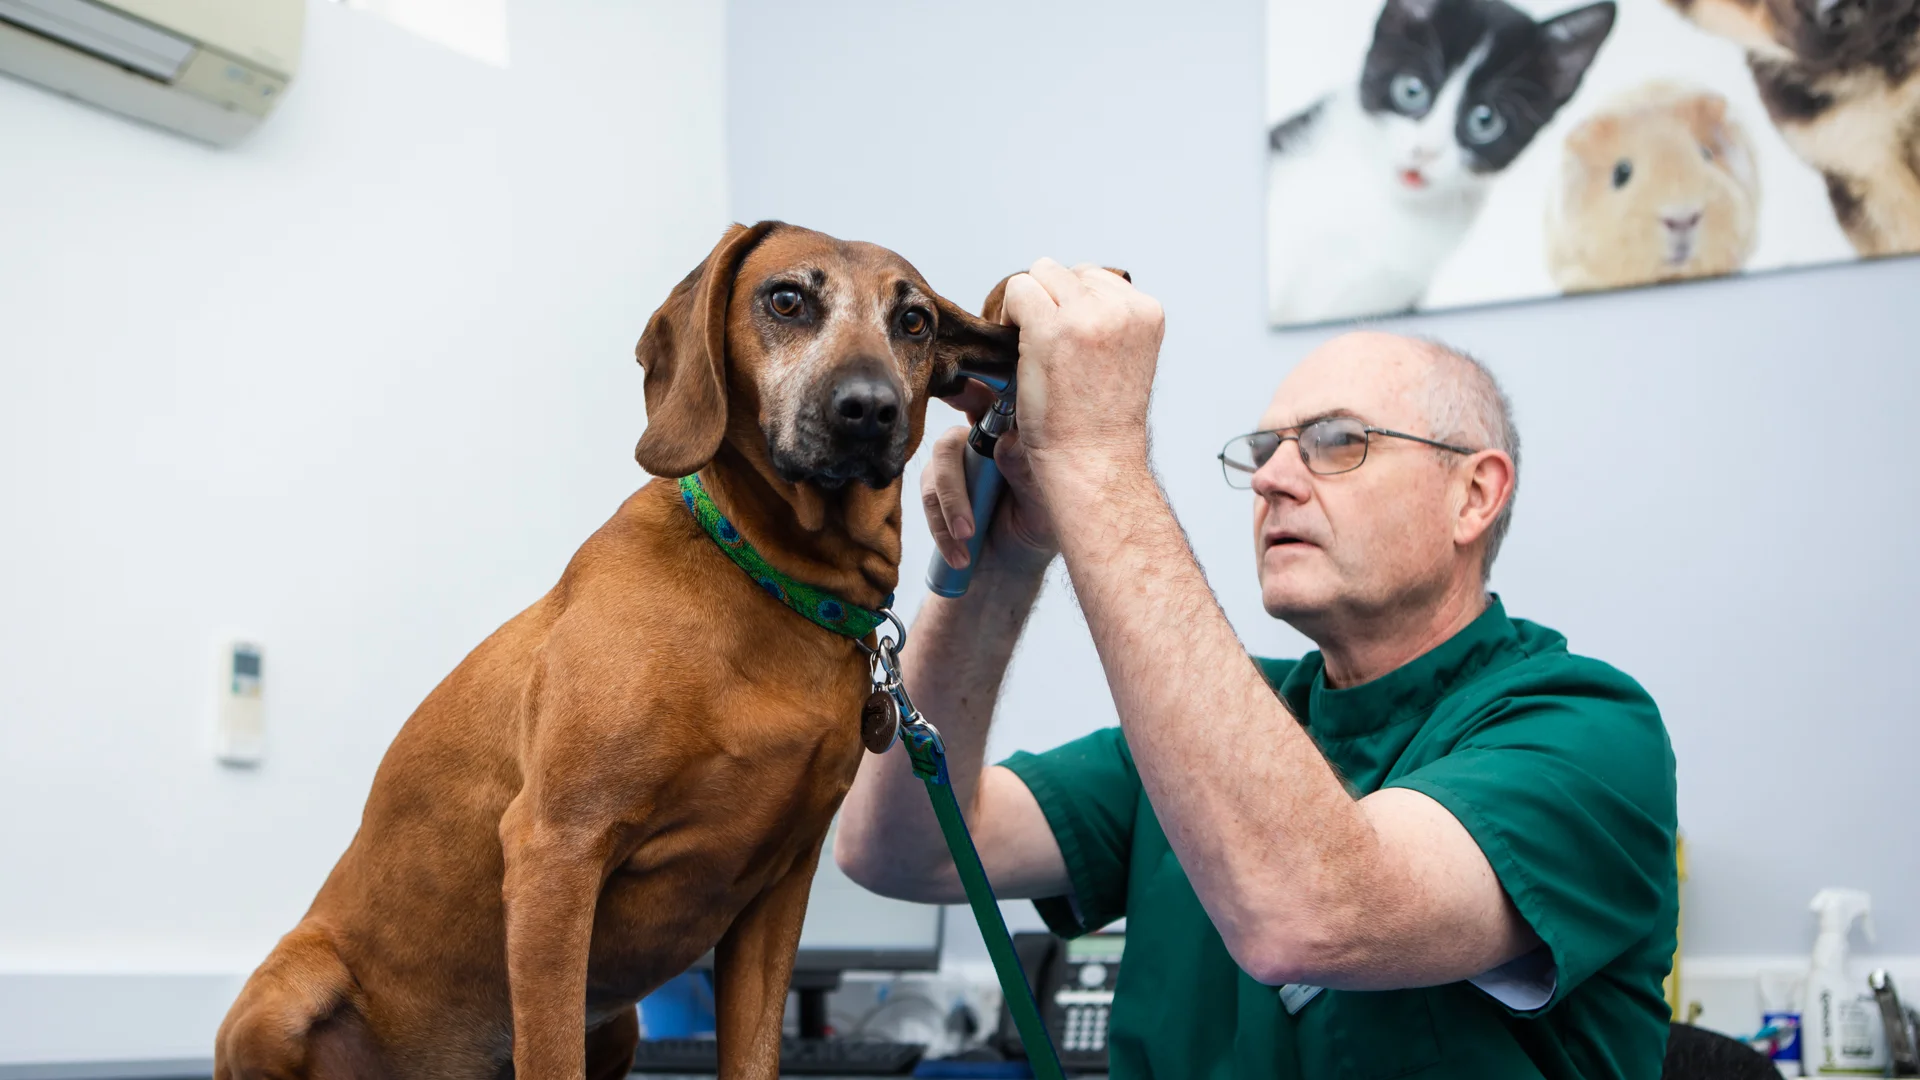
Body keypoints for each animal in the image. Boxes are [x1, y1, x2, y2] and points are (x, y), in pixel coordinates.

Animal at [212, 220, 1021, 1076]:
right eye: (787, 300)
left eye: (915, 321)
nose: (869, 409)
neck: (767, 580)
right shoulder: (555, 853)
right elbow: (551, 1052)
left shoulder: (776, 895)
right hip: (289, 990)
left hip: (622, 1022)